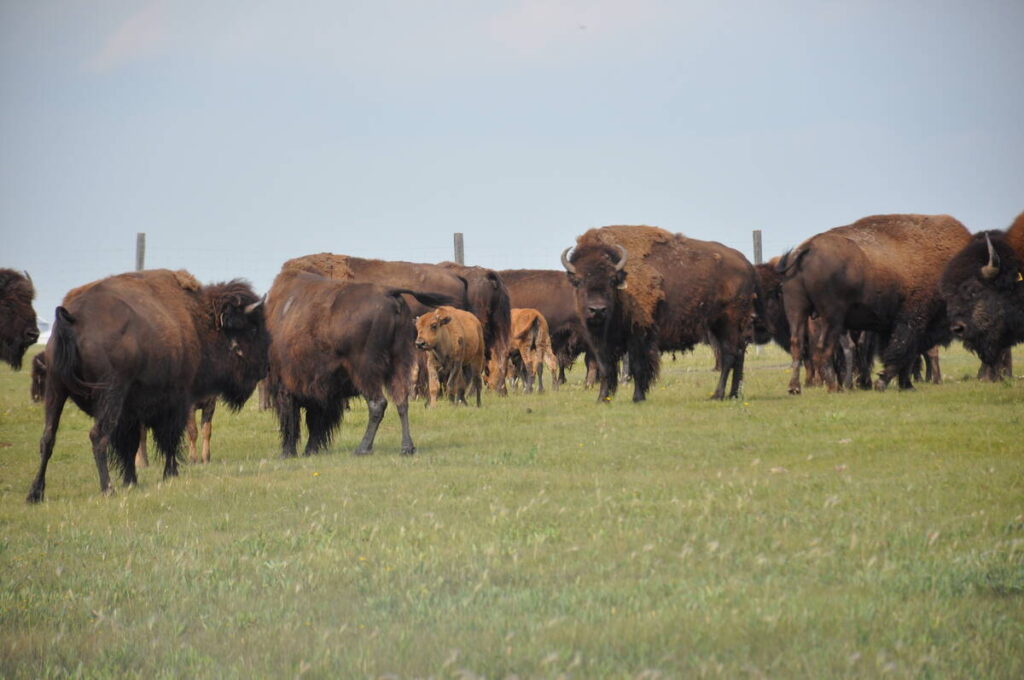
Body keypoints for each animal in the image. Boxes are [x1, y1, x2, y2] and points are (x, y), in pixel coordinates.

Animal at [27, 270, 268, 502]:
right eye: (251, 329)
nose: (263, 367)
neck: (198, 320)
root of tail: (73, 318)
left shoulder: (131, 412)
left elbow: (131, 443)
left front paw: (131, 480)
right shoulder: (177, 400)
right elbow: (170, 438)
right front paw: (171, 473)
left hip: (55, 390)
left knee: (47, 438)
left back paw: (35, 493)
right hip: (108, 394)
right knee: (97, 436)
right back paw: (107, 489)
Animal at [562, 225, 760, 402]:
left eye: (611, 280)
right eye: (578, 281)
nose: (597, 309)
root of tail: (746, 263)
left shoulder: (638, 334)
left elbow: (638, 366)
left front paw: (638, 397)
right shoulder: (601, 342)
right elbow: (605, 369)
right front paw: (602, 398)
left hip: (728, 322)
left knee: (729, 355)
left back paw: (717, 395)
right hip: (721, 326)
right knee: (738, 355)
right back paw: (734, 394)